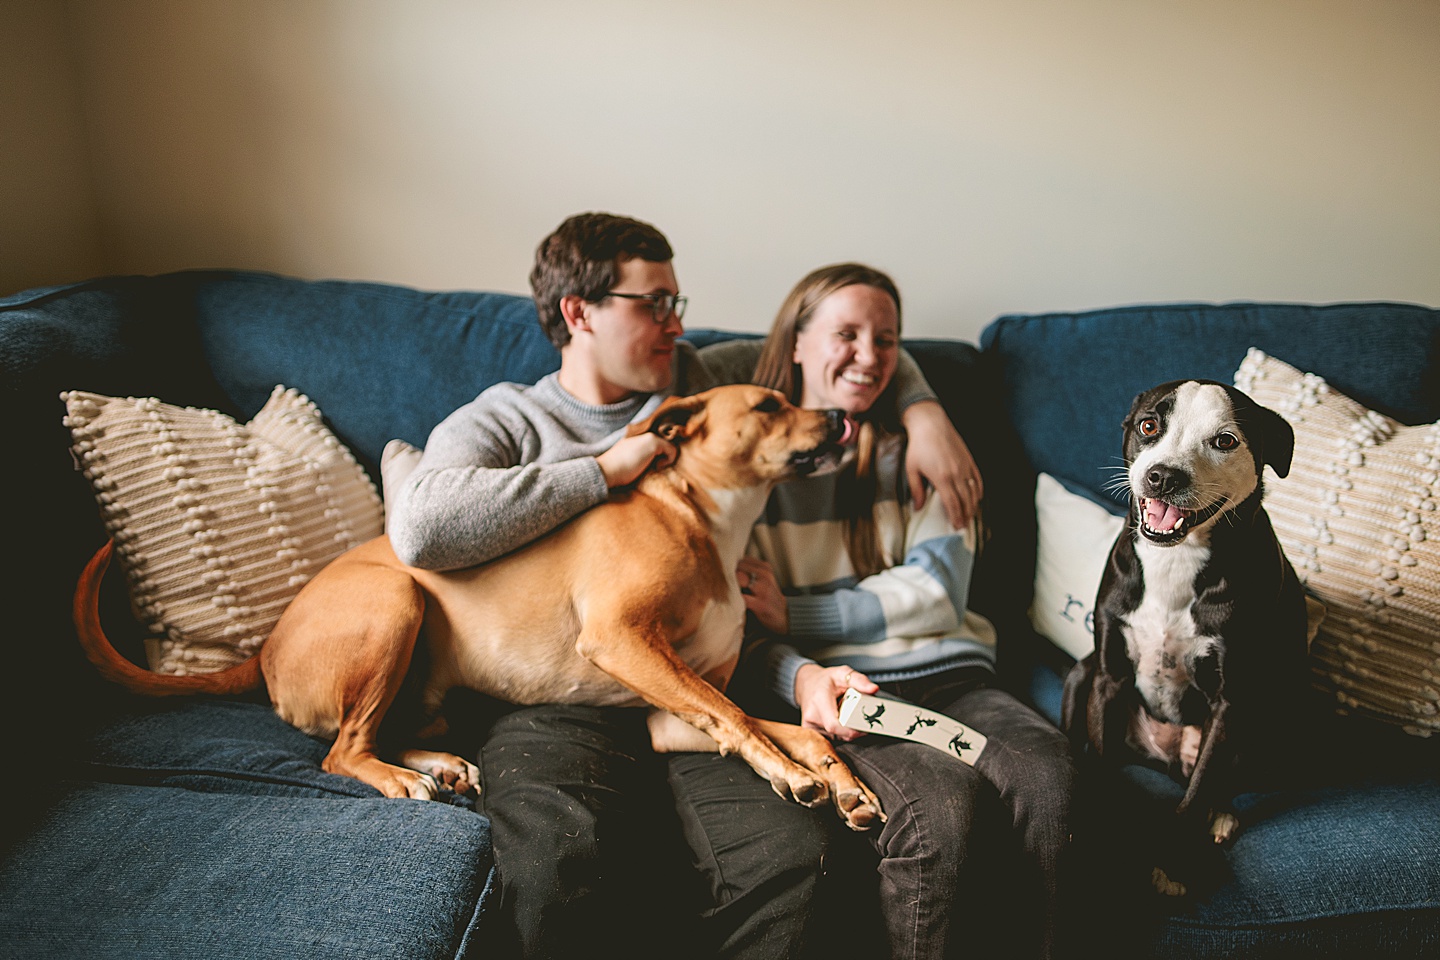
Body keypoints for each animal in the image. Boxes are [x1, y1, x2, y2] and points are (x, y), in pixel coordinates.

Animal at [78, 385, 887, 829]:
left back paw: (437, 764)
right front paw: (788, 772)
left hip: (425, 684)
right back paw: (404, 779)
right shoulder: (622, 640)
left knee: (376, 734)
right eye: (769, 404)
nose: (841, 415)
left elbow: (778, 724)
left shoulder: (666, 713)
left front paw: (841, 780)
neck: (703, 517)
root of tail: (264, 649)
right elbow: (740, 719)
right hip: (395, 600)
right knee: (342, 751)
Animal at [1065, 379, 1313, 898]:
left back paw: (1221, 815)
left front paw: (1174, 864)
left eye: (1225, 440)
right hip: (1082, 672)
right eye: (1148, 425)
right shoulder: (1108, 678)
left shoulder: (1231, 702)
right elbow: (1100, 761)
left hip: (1273, 719)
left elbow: (1198, 792)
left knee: (1220, 780)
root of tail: (1165, 758)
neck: (1176, 559)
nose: (1162, 477)